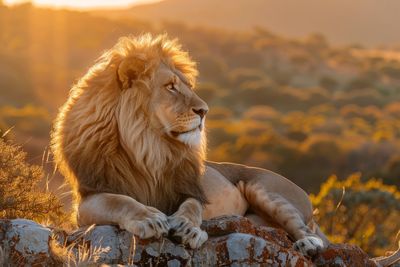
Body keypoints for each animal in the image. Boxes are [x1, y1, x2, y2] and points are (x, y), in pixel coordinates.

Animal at [51, 33, 398, 264]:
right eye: (170, 87)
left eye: (187, 85)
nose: (204, 111)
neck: (149, 146)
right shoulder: (90, 197)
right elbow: (120, 200)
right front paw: (149, 219)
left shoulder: (190, 189)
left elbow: (192, 207)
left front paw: (188, 230)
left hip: (265, 188)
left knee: (303, 229)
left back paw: (307, 246)